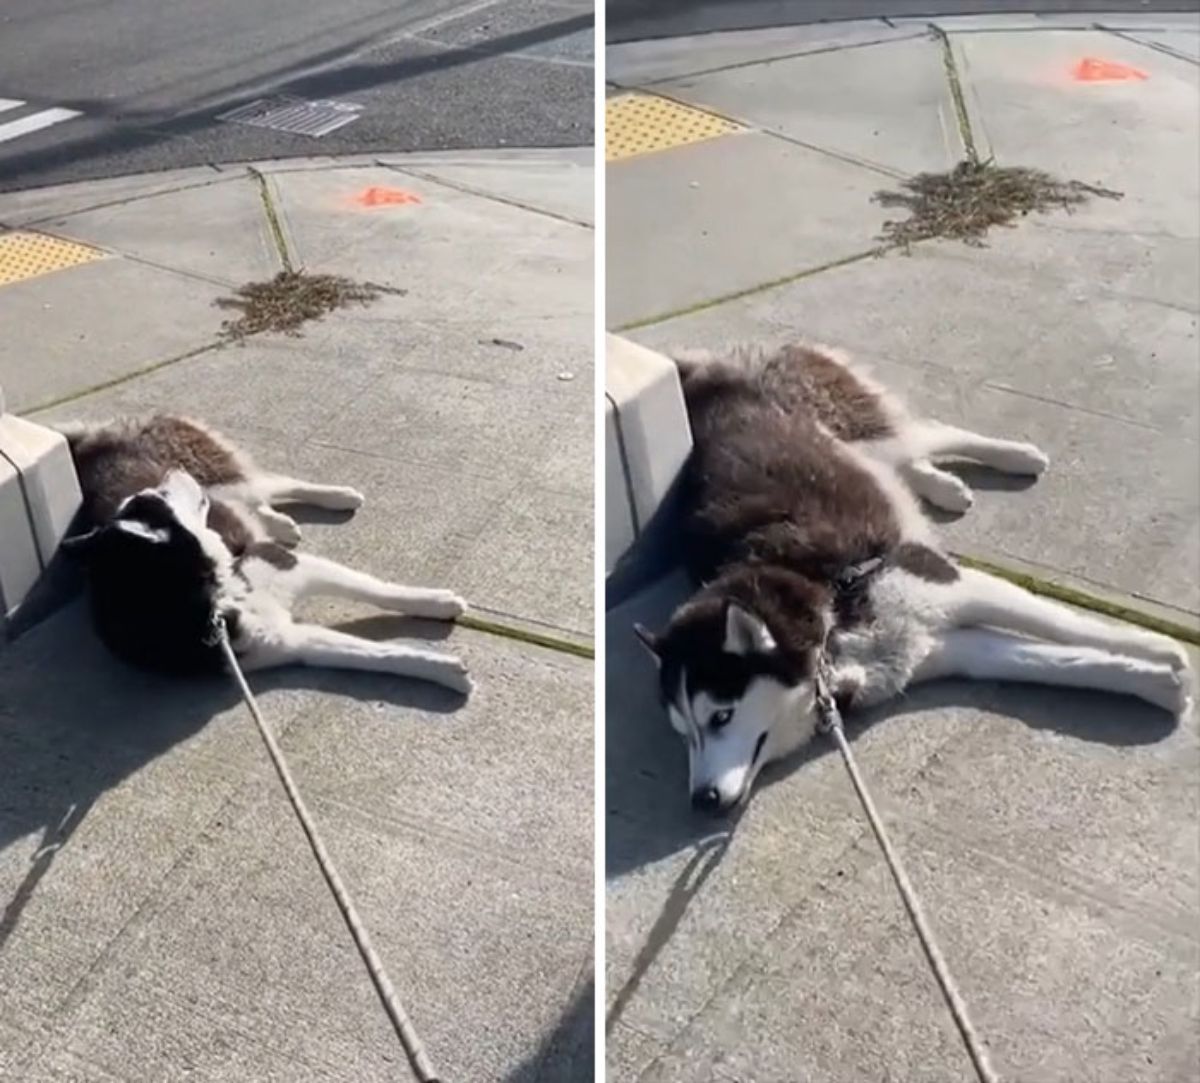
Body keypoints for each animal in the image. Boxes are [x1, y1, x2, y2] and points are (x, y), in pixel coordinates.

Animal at [57, 415, 468, 696]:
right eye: (158, 496)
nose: (173, 473)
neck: (218, 594)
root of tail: (94, 436)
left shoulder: (292, 565)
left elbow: (378, 589)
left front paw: (436, 602)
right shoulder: (287, 641)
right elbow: (376, 655)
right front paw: (444, 670)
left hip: (226, 478)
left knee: (278, 485)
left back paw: (337, 496)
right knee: (259, 505)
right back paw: (280, 522)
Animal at [633, 348, 1195, 816]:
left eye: (720, 718)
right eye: (684, 733)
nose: (701, 801)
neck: (829, 624)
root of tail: (700, 364)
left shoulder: (954, 584)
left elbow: (1071, 628)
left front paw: (1160, 649)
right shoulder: (948, 650)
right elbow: (1059, 662)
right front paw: (1155, 683)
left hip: (868, 431)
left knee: (933, 431)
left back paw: (1015, 456)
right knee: (906, 461)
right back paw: (942, 487)